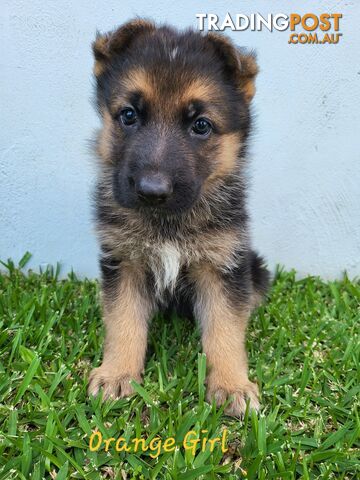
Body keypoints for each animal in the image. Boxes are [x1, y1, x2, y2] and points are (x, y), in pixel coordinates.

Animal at [87, 19, 268, 416]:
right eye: (129, 115)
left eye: (200, 125)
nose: (151, 191)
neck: (168, 223)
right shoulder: (123, 261)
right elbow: (123, 321)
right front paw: (117, 374)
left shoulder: (223, 265)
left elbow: (225, 329)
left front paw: (231, 385)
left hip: (256, 268)